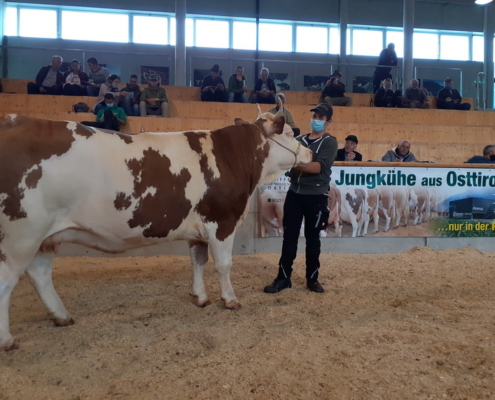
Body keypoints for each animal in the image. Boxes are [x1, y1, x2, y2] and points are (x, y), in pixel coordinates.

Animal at [0, 105, 312, 350]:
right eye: (290, 133)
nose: (309, 153)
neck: (233, 158)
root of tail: (13, 120)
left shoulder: (199, 228)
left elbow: (197, 261)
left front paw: (200, 297)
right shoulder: (222, 222)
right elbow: (223, 264)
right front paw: (230, 300)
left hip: (41, 236)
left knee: (40, 274)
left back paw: (62, 316)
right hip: (21, 235)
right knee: (7, 281)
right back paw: (7, 340)